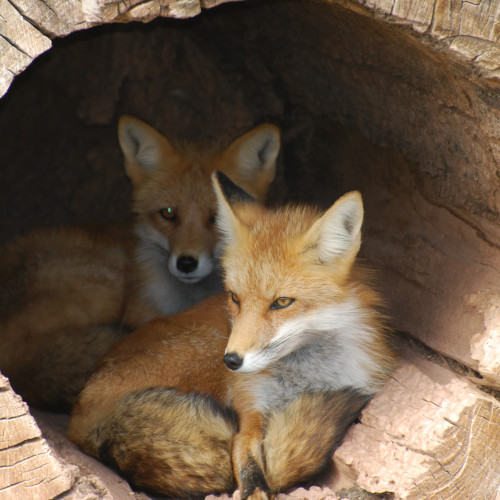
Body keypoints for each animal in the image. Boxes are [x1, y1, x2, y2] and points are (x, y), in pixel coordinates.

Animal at [66, 171, 396, 496]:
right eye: (235, 298)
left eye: (282, 302)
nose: (232, 361)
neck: (305, 381)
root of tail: (83, 411)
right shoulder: (248, 414)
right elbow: (253, 474)